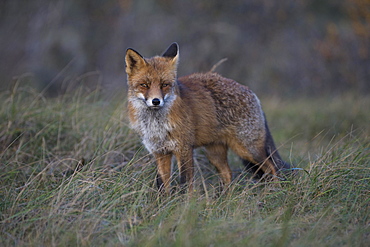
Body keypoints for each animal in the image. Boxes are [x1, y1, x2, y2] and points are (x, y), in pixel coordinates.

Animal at [125, 43, 294, 193]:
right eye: (144, 85)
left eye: (164, 85)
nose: (156, 101)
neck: (156, 125)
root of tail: (250, 92)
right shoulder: (160, 153)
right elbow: (161, 185)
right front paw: (163, 205)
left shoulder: (184, 149)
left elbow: (185, 183)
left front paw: (183, 206)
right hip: (215, 153)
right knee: (228, 174)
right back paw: (223, 200)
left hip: (248, 150)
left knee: (272, 168)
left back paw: (274, 193)